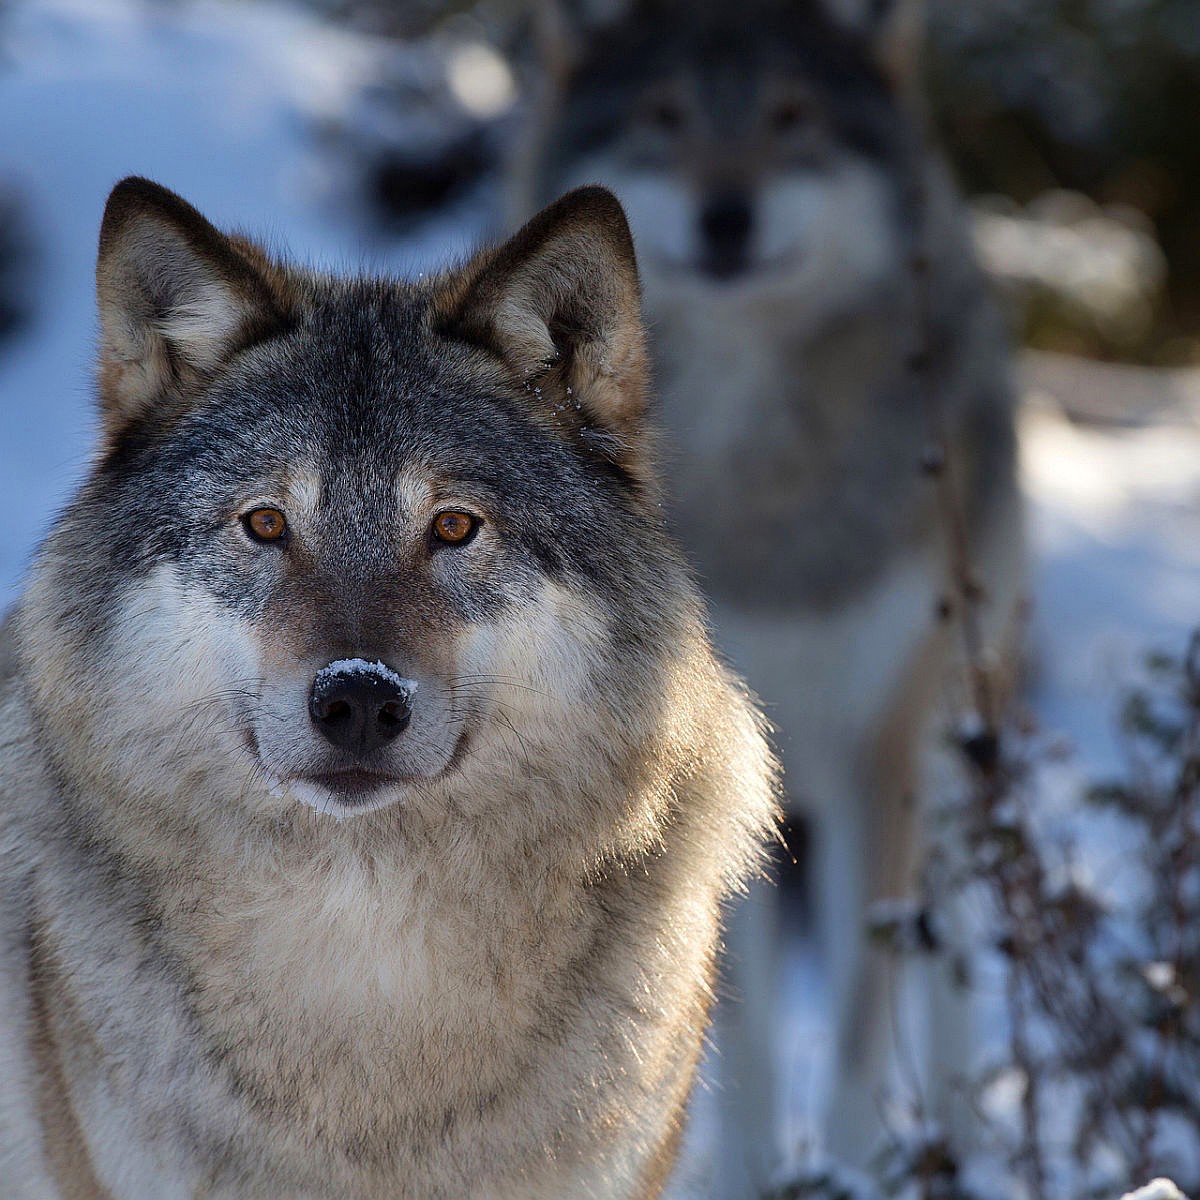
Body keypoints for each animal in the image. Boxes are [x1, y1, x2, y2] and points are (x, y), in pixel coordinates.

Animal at [511, 0, 1027, 1185]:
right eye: (664, 116)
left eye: (793, 118)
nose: (726, 215)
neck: (762, 482)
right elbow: (728, 1023)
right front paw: (747, 1173)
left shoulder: (883, 748)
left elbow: (860, 1016)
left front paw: (850, 1169)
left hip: (953, 743)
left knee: (950, 950)